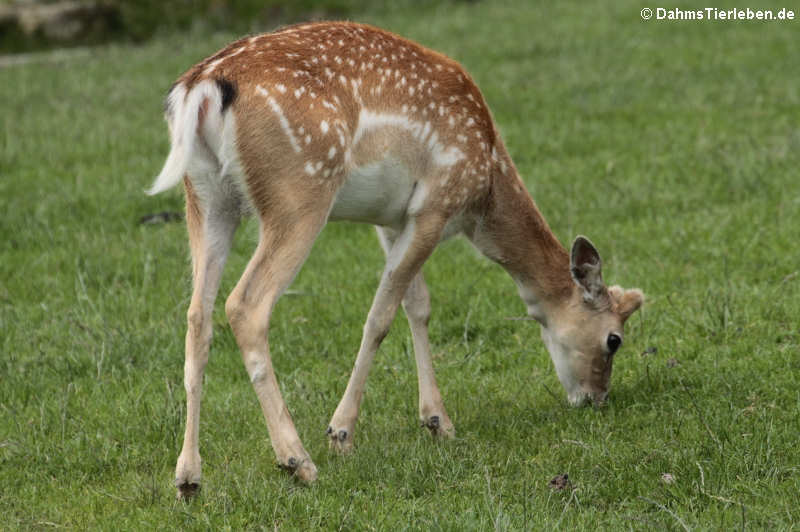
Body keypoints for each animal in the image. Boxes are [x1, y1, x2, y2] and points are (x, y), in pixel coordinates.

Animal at [148, 18, 644, 496]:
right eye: (614, 340)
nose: (596, 399)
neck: (483, 195)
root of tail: (201, 87)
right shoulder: (434, 205)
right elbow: (380, 316)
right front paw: (341, 432)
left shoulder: (390, 219)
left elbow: (416, 306)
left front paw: (437, 421)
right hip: (300, 190)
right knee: (245, 305)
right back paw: (298, 461)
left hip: (207, 196)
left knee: (197, 314)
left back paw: (188, 477)